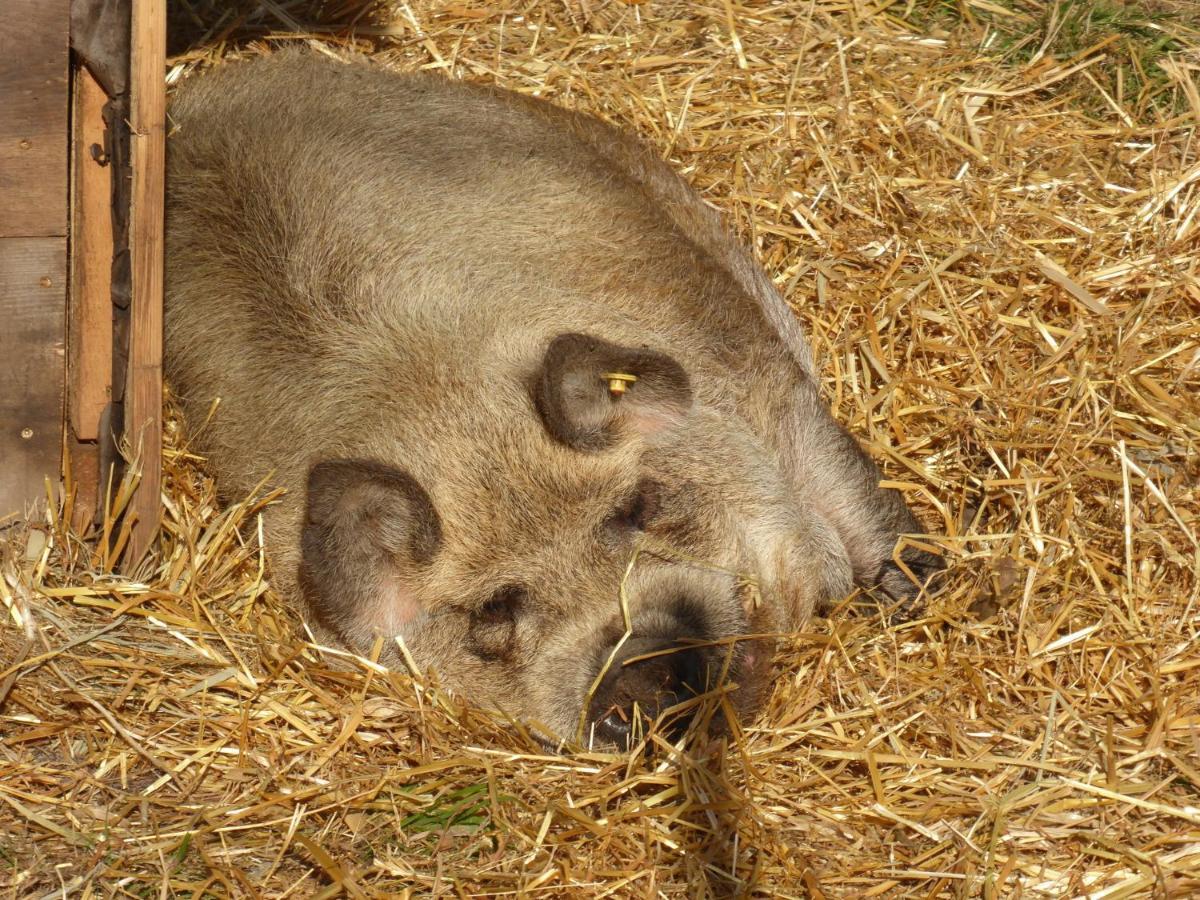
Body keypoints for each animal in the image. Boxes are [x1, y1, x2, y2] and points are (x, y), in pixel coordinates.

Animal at [166, 51, 936, 753]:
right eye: (494, 612)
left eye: (638, 506)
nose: (637, 665)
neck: (441, 402)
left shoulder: (761, 377)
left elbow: (859, 500)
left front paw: (928, 590)